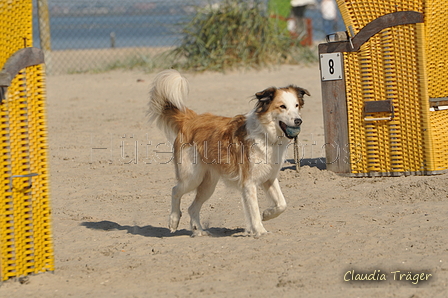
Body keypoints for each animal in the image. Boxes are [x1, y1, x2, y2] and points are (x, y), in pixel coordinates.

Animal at [149, 70, 310, 237]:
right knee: (175, 190)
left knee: (192, 207)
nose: (298, 121)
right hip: (192, 177)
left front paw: (267, 214)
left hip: (208, 185)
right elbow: (254, 210)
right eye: (282, 107)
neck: (265, 134)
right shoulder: (249, 183)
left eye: (296, 105)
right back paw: (173, 220)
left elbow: (282, 204)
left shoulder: (269, 178)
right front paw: (260, 231)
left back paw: (199, 231)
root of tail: (191, 120)